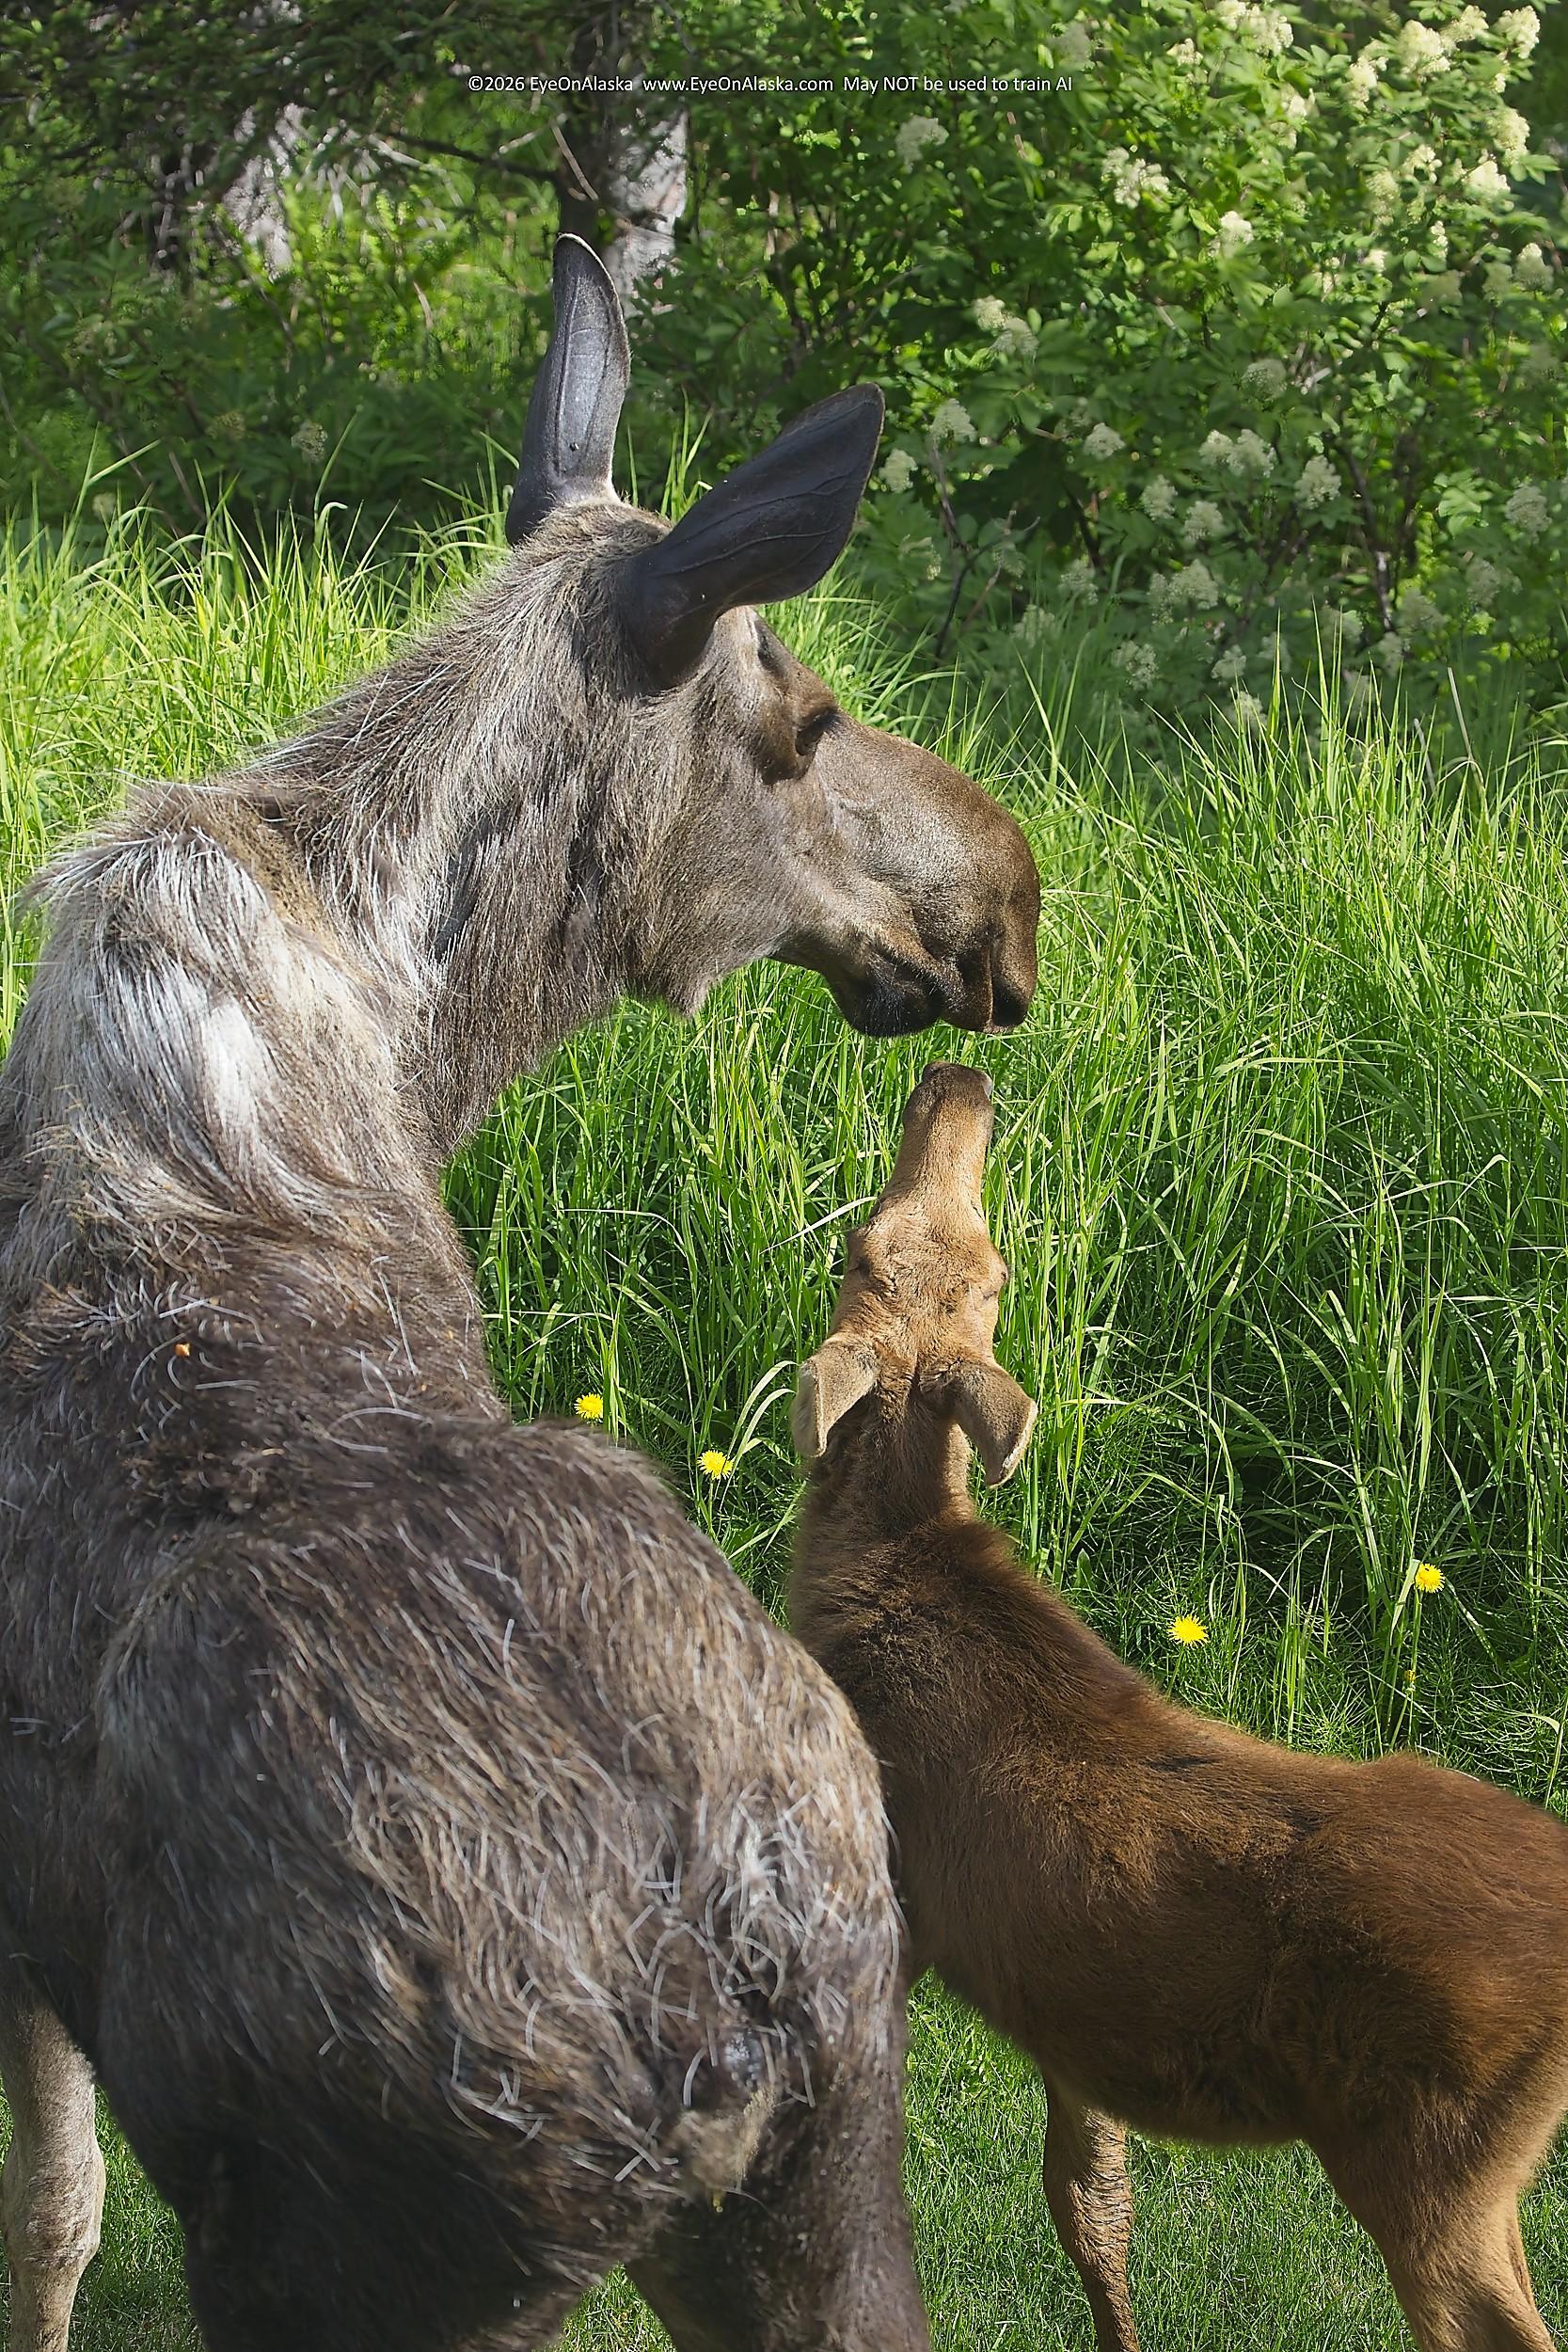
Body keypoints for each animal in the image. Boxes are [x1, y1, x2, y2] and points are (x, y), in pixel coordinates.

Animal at [0, 237, 1041, 2352]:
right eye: (804, 712)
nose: (1011, 893)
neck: (421, 1052)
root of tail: (719, 1979)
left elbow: (42, 2217)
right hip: (820, 2179)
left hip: (348, 2263)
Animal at [789, 1059, 1568, 2352]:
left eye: (857, 1247)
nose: (958, 1079)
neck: (887, 1564)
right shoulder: (1061, 2007)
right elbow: (1090, 2202)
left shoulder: (890, 1898)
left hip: (1427, 2160)